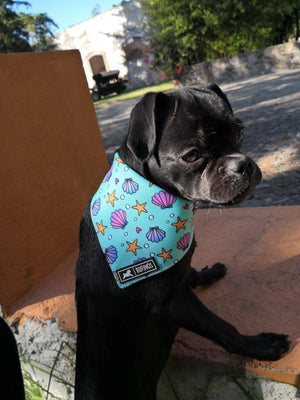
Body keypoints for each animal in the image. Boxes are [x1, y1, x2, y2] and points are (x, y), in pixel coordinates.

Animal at [74, 83, 288, 398]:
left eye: (240, 134)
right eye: (191, 156)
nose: (243, 164)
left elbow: (191, 271)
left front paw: (207, 272)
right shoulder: (173, 302)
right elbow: (223, 328)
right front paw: (260, 346)